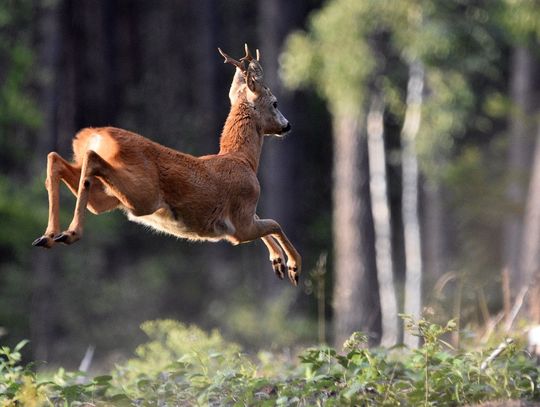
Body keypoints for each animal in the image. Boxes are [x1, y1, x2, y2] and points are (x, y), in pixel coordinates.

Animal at [32, 44, 304, 286]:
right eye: (275, 102)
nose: (288, 125)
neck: (243, 159)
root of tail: (95, 135)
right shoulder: (240, 222)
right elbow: (275, 223)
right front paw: (292, 266)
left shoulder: (242, 220)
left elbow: (269, 224)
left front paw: (277, 262)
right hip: (143, 195)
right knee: (89, 159)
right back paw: (70, 232)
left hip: (109, 198)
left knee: (56, 159)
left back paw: (49, 236)